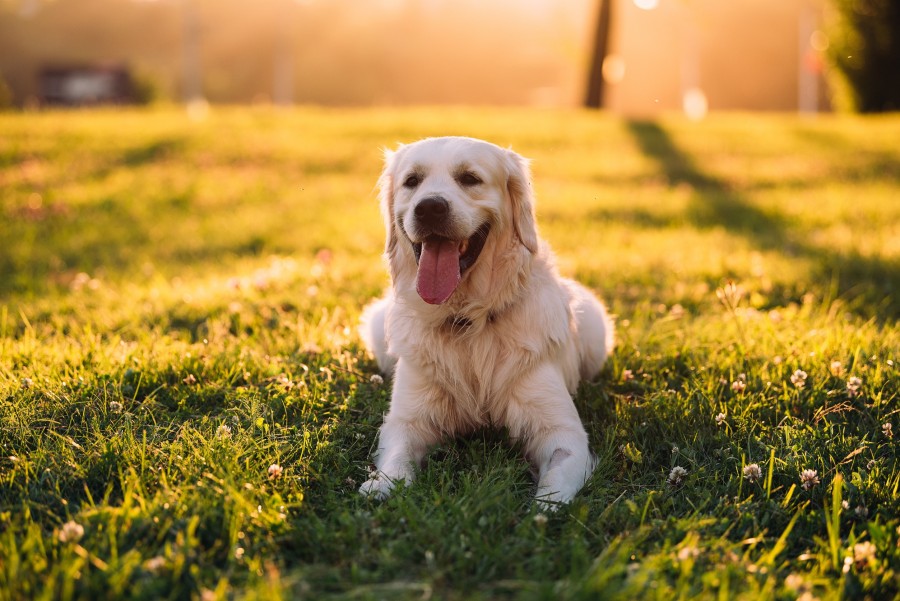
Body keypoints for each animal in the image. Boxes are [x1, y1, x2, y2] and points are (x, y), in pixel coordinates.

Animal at [356, 138, 612, 508]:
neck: (468, 321)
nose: (429, 208)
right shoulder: (407, 419)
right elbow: (397, 458)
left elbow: (556, 481)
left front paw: (540, 511)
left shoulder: (563, 431)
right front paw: (382, 485)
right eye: (412, 181)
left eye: (470, 178)